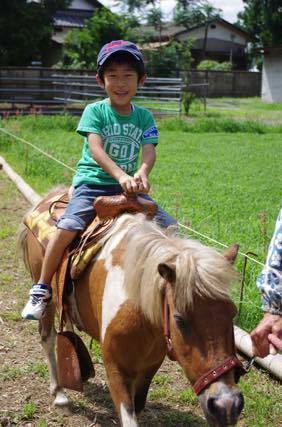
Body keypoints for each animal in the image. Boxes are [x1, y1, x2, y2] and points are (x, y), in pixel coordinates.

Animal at [19, 206, 245, 426]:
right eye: (179, 320)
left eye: (232, 312)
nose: (226, 405)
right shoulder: (116, 371)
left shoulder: (149, 367)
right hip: (47, 299)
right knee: (48, 338)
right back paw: (59, 394)